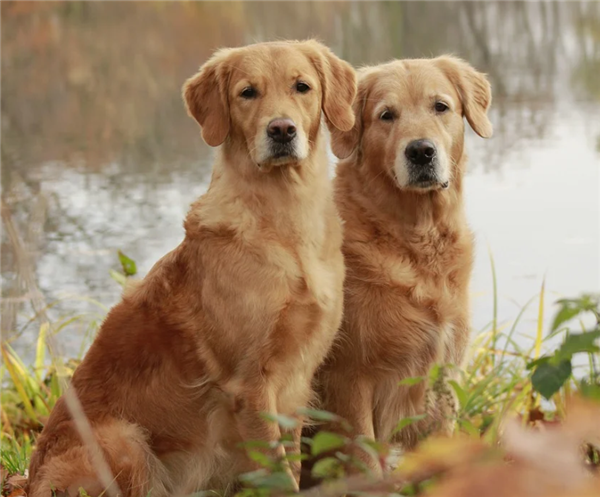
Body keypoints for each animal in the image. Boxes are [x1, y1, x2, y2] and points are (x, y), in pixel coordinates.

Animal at [27, 40, 356, 496]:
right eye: (247, 92)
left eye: (302, 87)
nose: (282, 130)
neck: (283, 218)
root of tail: (28, 480)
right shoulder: (251, 385)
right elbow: (279, 474)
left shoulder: (296, 382)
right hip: (124, 440)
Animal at [310, 55, 492, 476]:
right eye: (386, 115)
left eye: (440, 106)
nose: (421, 151)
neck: (415, 239)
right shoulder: (348, 382)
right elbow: (364, 465)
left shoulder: (443, 380)